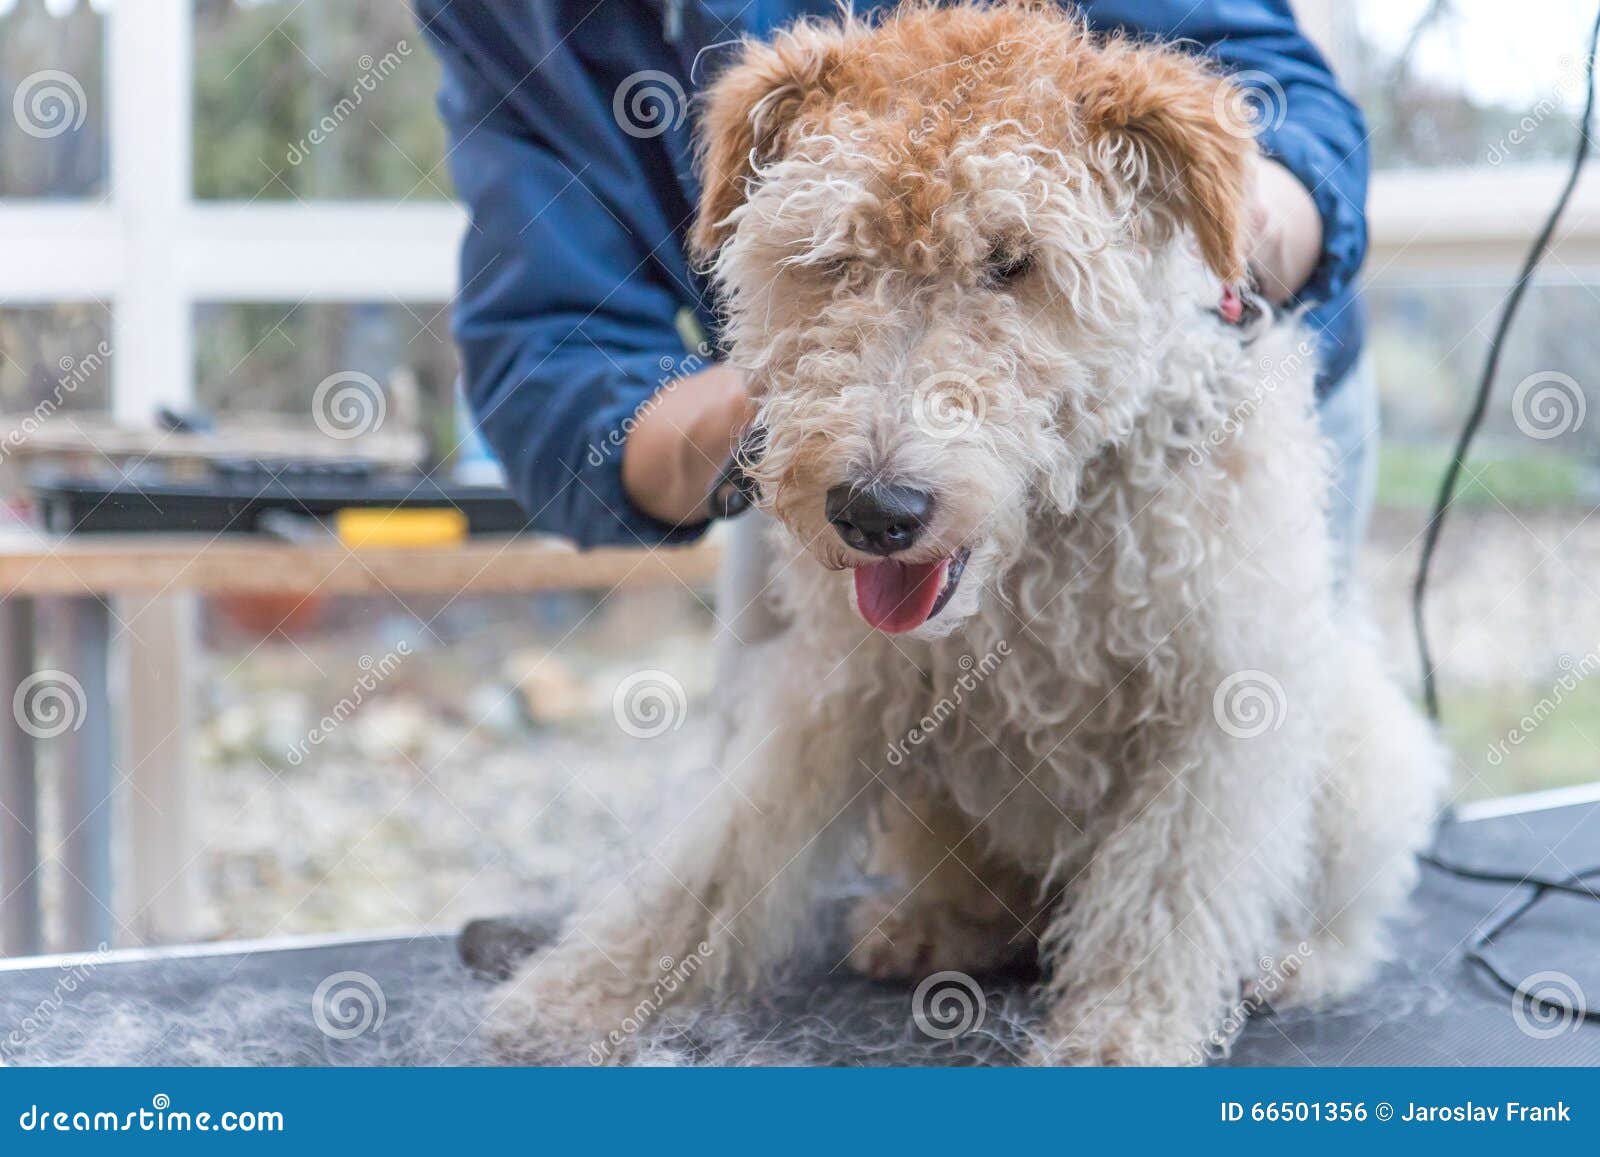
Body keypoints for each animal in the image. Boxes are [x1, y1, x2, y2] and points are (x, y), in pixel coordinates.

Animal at [489, 0, 1452, 1068]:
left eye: (1013, 262)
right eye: (833, 257)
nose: (876, 511)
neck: (1045, 548)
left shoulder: (1222, 693)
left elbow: (1166, 893)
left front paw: (1116, 1037)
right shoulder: (834, 688)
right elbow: (719, 851)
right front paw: (580, 995)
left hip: (1363, 747)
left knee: (1336, 910)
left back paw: (1292, 962)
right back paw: (934, 928)